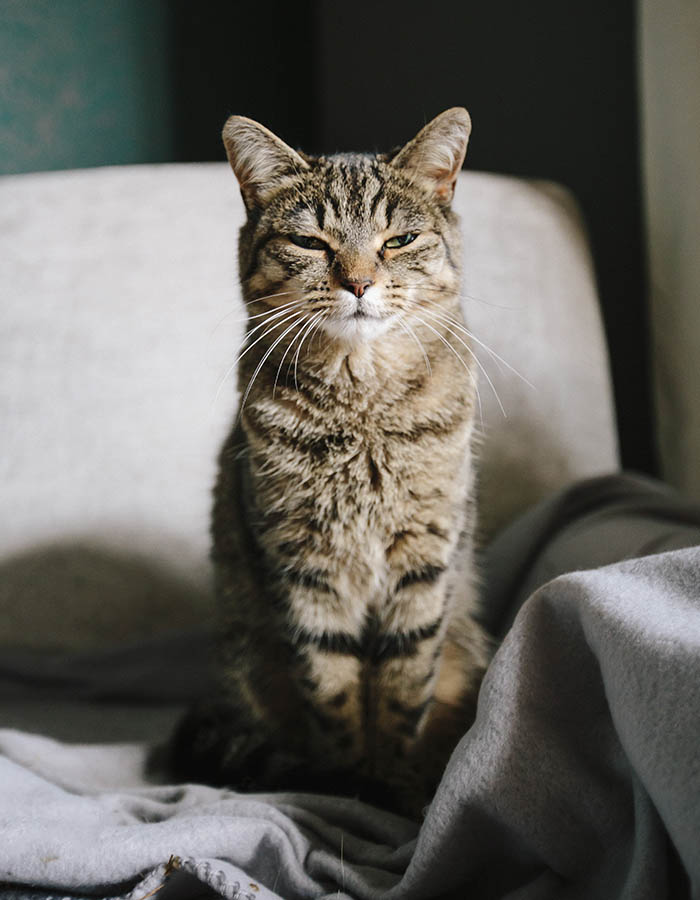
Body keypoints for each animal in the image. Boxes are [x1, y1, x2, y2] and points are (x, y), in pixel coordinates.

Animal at [174, 107, 492, 816]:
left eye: (399, 240)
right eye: (311, 243)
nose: (359, 282)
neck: (362, 409)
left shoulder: (424, 560)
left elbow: (403, 691)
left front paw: (397, 782)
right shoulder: (304, 565)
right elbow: (332, 689)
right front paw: (348, 786)